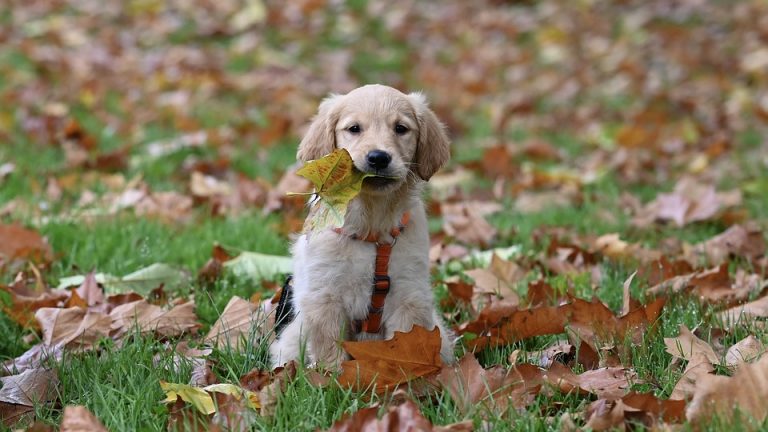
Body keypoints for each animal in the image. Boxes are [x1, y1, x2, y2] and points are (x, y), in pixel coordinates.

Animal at [268, 85, 452, 372]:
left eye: (401, 128)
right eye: (354, 128)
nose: (378, 157)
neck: (371, 227)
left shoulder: (410, 294)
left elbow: (410, 342)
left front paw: (412, 375)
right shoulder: (324, 296)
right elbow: (329, 348)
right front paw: (330, 377)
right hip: (290, 336)